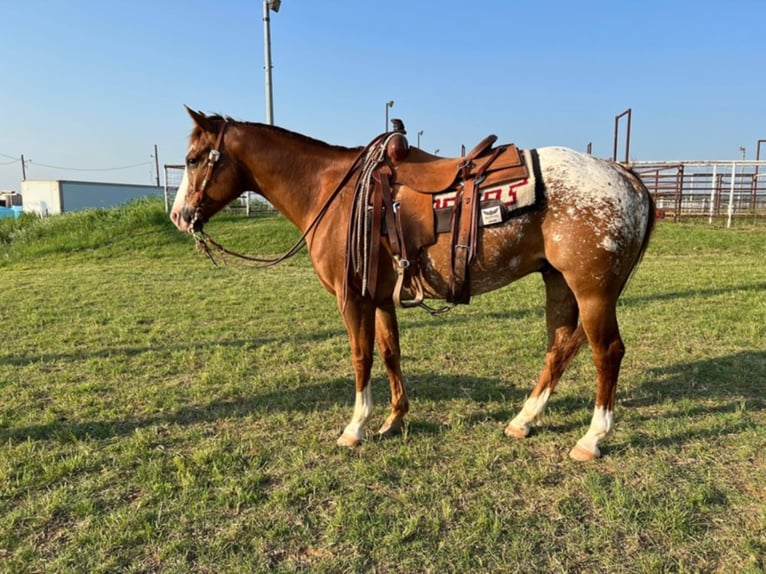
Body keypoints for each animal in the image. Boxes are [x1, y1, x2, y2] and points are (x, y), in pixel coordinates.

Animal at [172, 107, 656, 464]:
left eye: (194, 160)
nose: (178, 216)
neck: (332, 192)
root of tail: (625, 176)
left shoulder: (353, 298)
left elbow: (361, 357)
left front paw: (355, 427)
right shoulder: (381, 297)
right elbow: (390, 353)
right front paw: (394, 420)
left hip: (593, 292)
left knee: (606, 352)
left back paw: (591, 439)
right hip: (559, 284)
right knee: (561, 346)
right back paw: (524, 420)